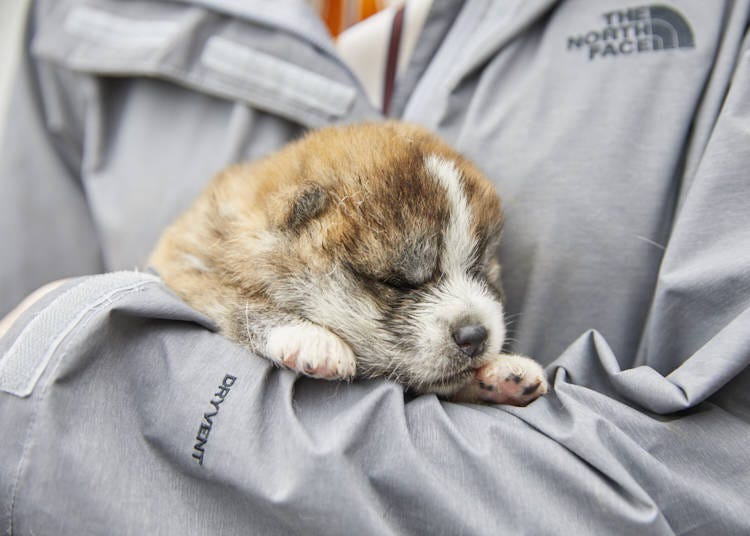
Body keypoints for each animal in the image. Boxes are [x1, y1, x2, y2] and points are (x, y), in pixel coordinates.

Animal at [150, 122, 548, 406]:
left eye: (479, 269)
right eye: (398, 282)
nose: (475, 335)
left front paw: (503, 372)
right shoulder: (182, 268)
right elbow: (234, 301)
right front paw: (309, 338)